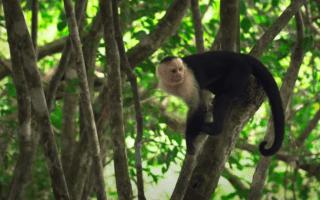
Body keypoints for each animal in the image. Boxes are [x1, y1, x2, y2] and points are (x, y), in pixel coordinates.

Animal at [156, 51, 284, 156]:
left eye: (180, 69)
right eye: (174, 71)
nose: (179, 74)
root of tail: (239, 55)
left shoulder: (187, 80)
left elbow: (197, 106)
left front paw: (190, 136)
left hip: (239, 68)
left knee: (225, 96)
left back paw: (215, 129)